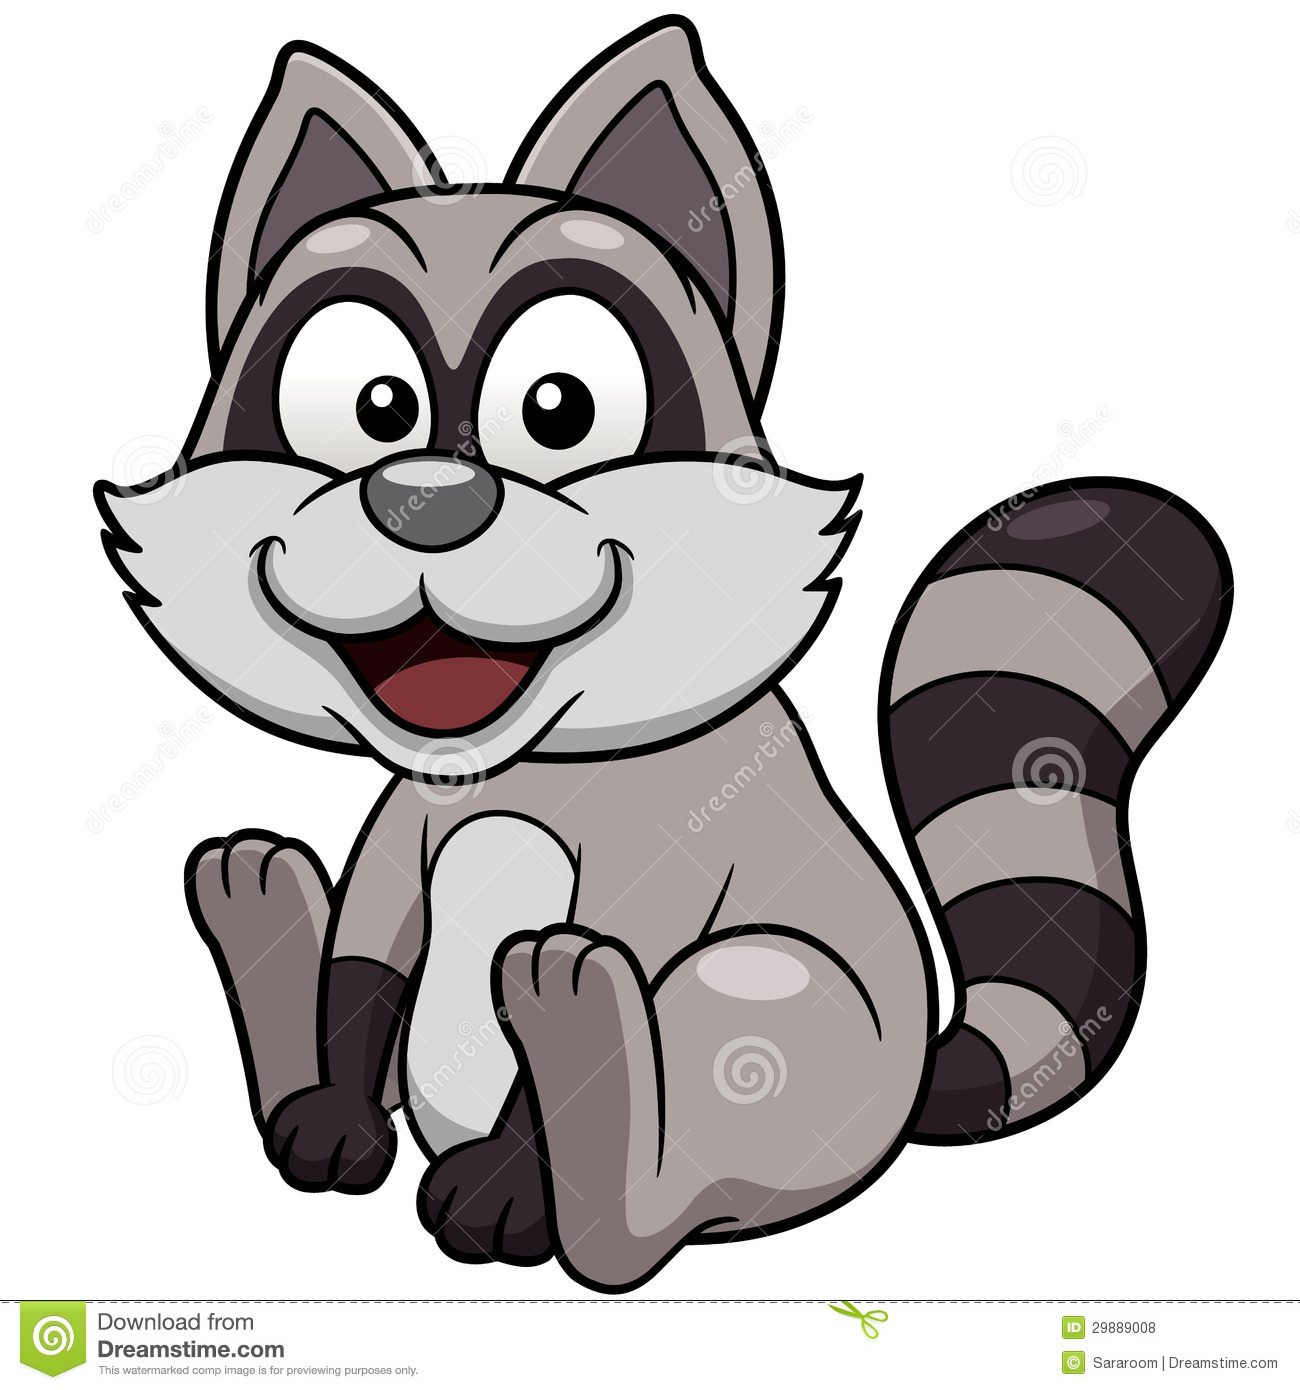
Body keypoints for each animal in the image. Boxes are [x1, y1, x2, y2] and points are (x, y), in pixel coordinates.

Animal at [95, 18, 1232, 1292]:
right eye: (373, 404)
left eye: (560, 406)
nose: (425, 499)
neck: (524, 772)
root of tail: (902, 1107)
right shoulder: (405, 827)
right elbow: (368, 964)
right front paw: (333, 1104)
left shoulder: (672, 850)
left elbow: (609, 981)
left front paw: (512, 1172)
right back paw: (265, 922)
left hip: (791, 1021)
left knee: (661, 1165)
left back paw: (585, 1113)